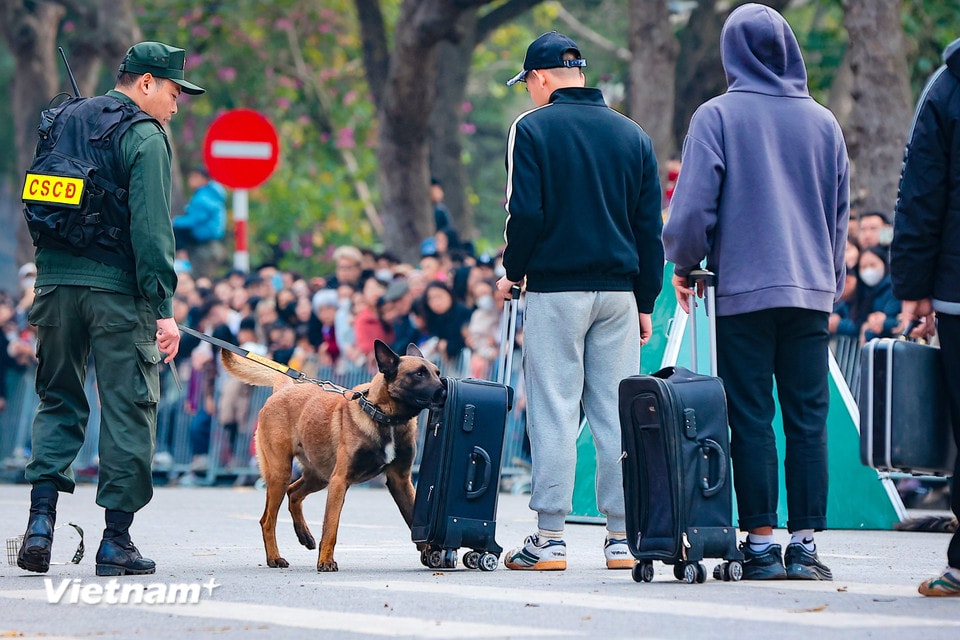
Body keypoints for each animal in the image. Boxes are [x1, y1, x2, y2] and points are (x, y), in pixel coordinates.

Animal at [223, 340, 448, 568]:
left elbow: (414, 516)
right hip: (282, 473)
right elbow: (331, 526)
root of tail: (285, 388)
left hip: (319, 476)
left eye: (437, 372)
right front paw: (326, 561)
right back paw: (274, 557)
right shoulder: (340, 480)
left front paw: (431, 551)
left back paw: (304, 535)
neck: (383, 416)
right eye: (419, 373)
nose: (445, 390)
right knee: (268, 520)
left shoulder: (400, 480)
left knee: (293, 493)